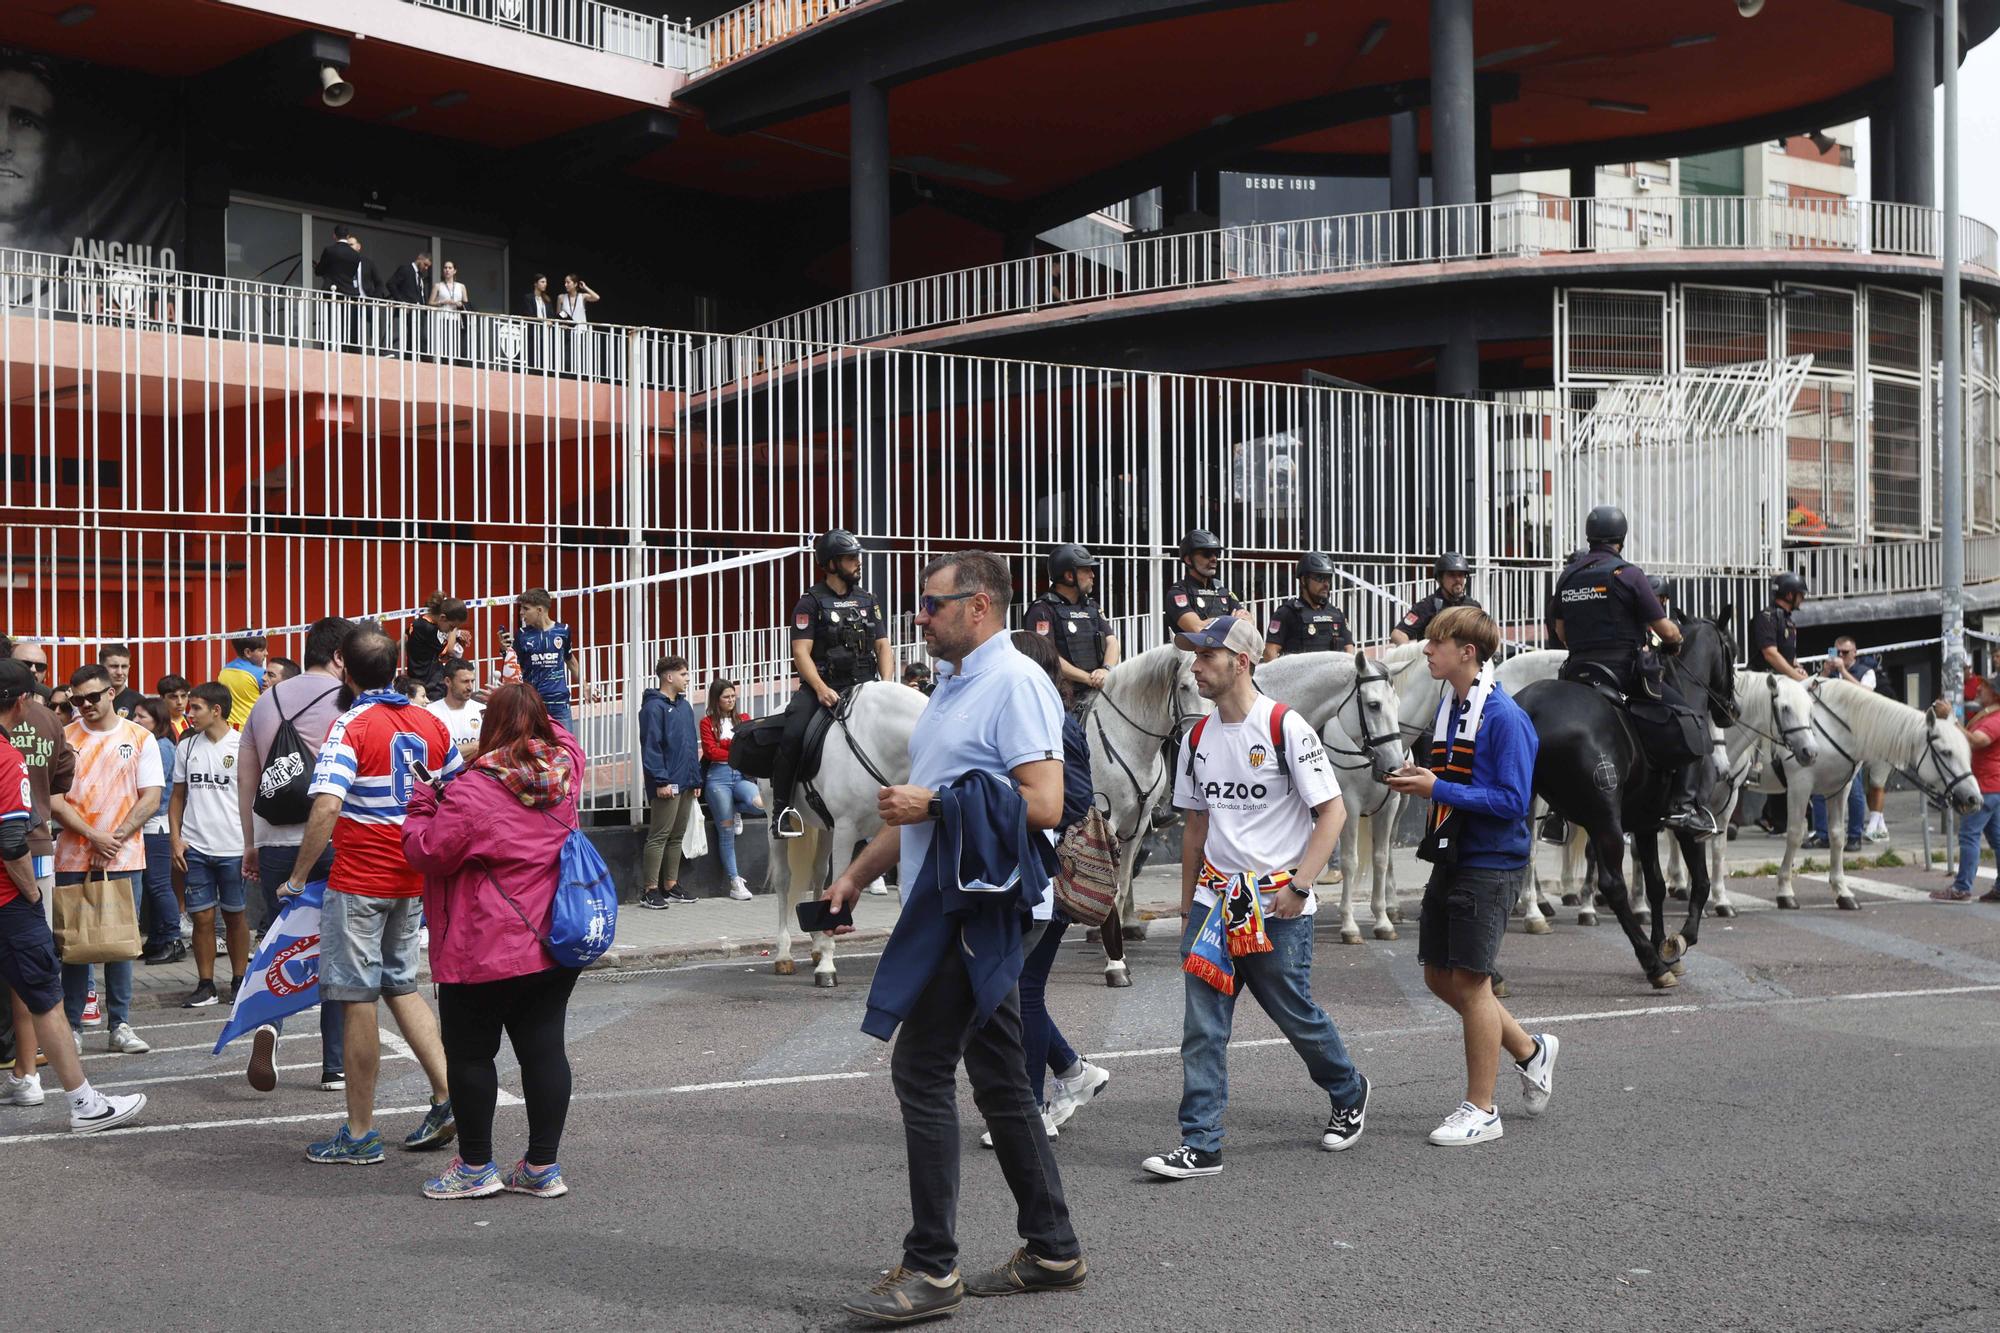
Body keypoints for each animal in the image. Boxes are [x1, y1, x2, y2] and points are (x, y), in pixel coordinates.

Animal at [768, 684, 924, 984]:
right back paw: (784, 954)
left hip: (825, 828)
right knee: (783, 880)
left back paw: (816, 946)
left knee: (818, 875)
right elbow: (839, 890)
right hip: (779, 827)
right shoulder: (846, 829)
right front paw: (827, 967)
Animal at [1712, 680, 1976, 908]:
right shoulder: (1800, 785)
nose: (1974, 798)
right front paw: (1785, 891)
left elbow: (1838, 836)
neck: (1837, 727)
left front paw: (1842, 891)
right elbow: (1795, 835)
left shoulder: (1839, 789)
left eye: (1967, 752)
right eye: (1946, 752)